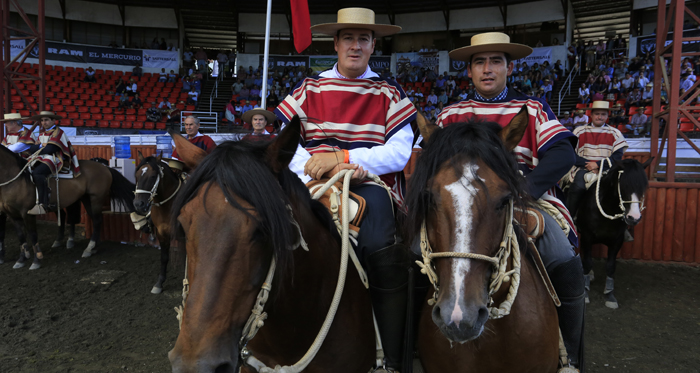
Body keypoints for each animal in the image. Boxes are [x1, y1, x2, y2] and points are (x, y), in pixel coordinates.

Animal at [0, 144, 135, 268]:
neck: (16, 180)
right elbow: (21, 237)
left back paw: (89, 247)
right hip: (86, 199)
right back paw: (94, 247)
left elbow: (33, 235)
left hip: (96, 198)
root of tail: (105, 167)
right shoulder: (12, 215)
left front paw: (36, 261)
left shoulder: (27, 213)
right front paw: (21, 260)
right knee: (95, 219)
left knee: (96, 220)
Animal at [133, 152, 183, 294]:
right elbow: (164, 257)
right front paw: (159, 283)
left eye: (153, 176)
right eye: (136, 175)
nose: (138, 204)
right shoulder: (162, 234)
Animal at [576, 157, 652, 308]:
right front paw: (585, 292)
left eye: (643, 186)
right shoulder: (587, 236)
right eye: (623, 185)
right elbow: (587, 262)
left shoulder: (617, 240)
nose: (634, 217)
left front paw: (609, 294)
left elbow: (611, 266)